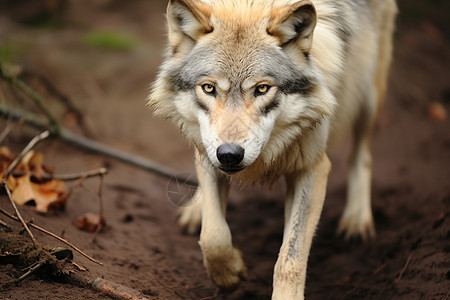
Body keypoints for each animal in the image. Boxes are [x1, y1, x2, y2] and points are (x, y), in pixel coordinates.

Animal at [149, 0, 398, 296]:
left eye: (262, 89)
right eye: (208, 88)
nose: (230, 155)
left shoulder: (312, 169)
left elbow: (290, 259)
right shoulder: (210, 154)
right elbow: (213, 236)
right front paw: (230, 274)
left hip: (368, 93)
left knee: (362, 154)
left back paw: (357, 218)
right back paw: (195, 208)